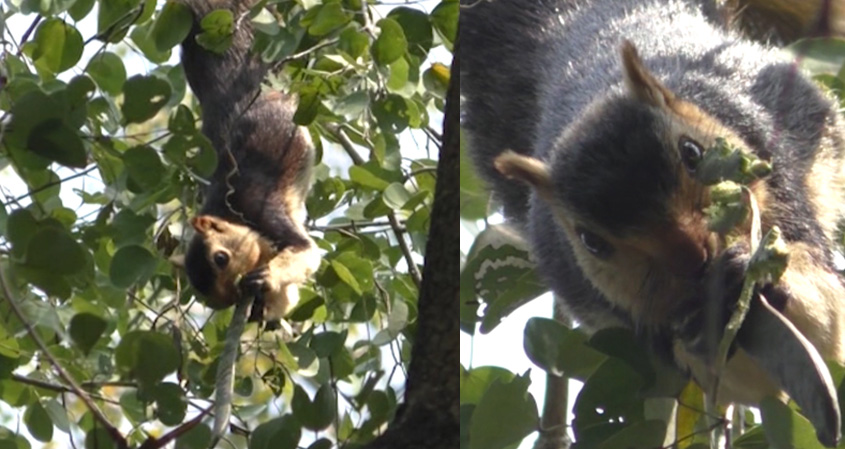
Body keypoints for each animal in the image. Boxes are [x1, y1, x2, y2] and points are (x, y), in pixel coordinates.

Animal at [178, 0, 320, 328]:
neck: (227, 210)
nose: (238, 287)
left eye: (221, 258)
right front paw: (264, 305)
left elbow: (306, 251)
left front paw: (267, 277)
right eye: (224, 299)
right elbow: (288, 298)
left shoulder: (259, 205)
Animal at [463, 0, 845, 445]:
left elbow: (826, 315)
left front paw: (748, 274)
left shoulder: (776, 165)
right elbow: (733, 379)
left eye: (692, 153)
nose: (691, 255)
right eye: (591, 241)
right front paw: (708, 314)